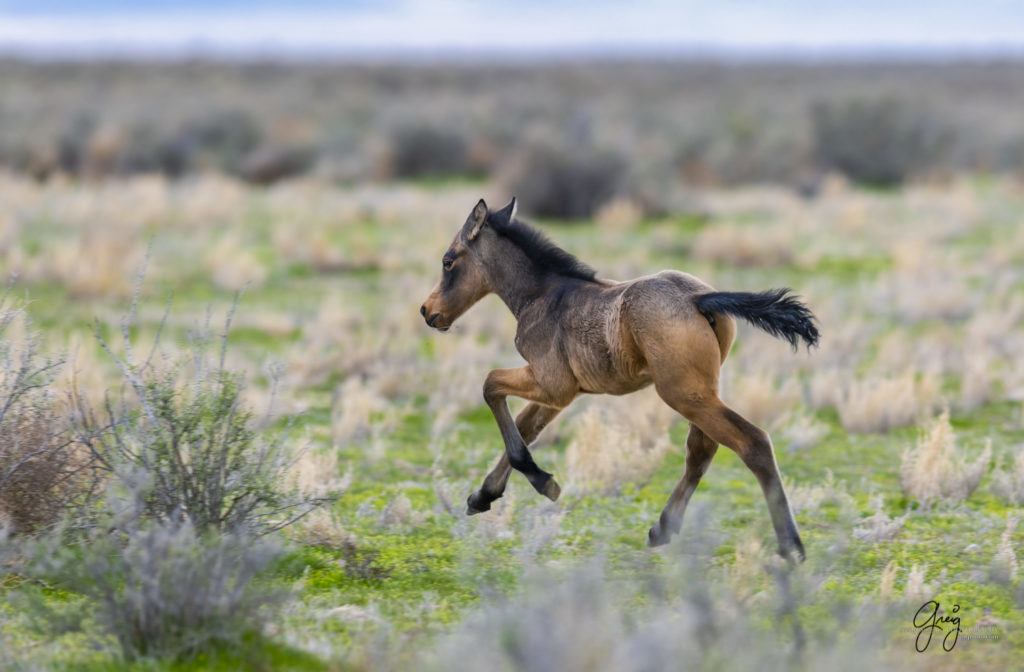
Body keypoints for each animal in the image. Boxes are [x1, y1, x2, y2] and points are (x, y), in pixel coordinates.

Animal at [419, 197, 819, 561]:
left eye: (448, 260)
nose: (427, 311)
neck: (542, 295)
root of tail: (700, 299)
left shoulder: (551, 384)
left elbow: (490, 387)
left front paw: (542, 482)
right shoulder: (560, 394)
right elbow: (525, 426)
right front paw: (483, 496)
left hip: (682, 393)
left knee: (753, 443)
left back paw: (791, 547)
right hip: (701, 390)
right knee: (702, 450)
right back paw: (663, 529)